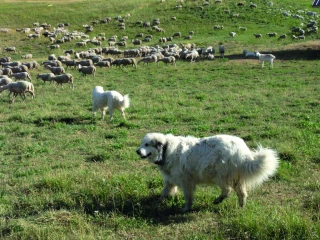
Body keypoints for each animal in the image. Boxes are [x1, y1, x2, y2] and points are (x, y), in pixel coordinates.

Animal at [136, 133, 278, 212]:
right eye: (142, 143)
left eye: (147, 144)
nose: (137, 151)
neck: (166, 149)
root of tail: (242, 152)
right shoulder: (170, 180)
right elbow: (164, 192)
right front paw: (158, 201)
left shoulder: (186, 182)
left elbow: (188, 197)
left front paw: (186, 208)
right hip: (236, 179)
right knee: (242, 193)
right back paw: (241, 207)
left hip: (220, 175)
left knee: (227, 190)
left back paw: (218, 200)